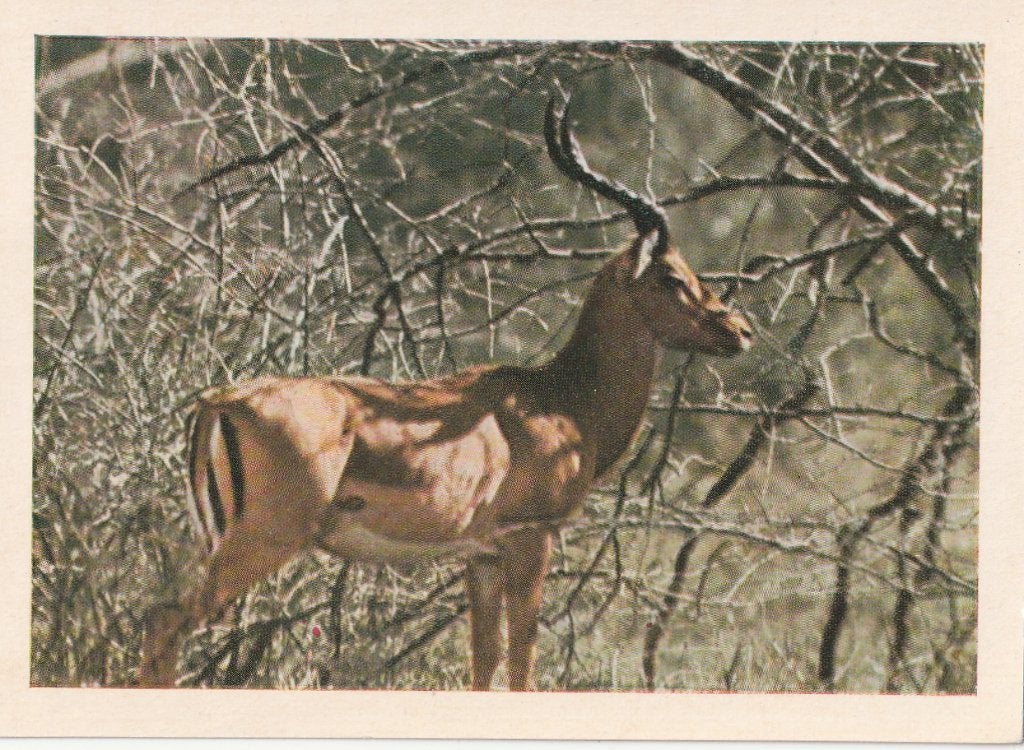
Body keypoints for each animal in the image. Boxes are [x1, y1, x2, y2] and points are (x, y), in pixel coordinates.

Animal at [139, 91, 753, 689]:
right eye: (673, 275)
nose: (740, 329)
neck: (563, 399)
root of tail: (217, 402)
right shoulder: (530, 540)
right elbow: (522, 664)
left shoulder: (480, 557)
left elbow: (484, 662)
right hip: (264, 541)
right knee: (165, 624)